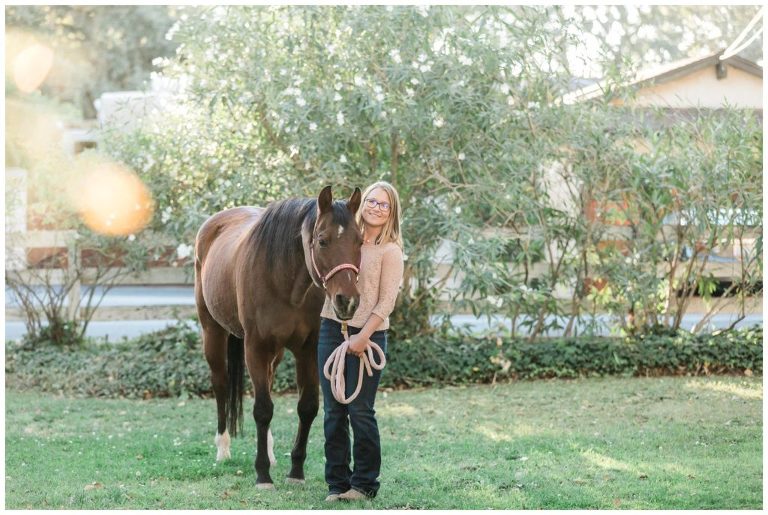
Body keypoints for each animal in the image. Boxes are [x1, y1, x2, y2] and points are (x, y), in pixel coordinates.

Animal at [194, 185, 363, 488]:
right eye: (322, 241)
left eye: (360, 241)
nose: (348, 302)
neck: (284, 280)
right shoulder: (255, 348)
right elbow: (262, 409)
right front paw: (262, 475)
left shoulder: (307, 350)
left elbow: (307, 407)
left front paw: (295, 471)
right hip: (212, 332)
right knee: (221, 385)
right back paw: (223, 449)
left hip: (275, 354)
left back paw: (270, 453)